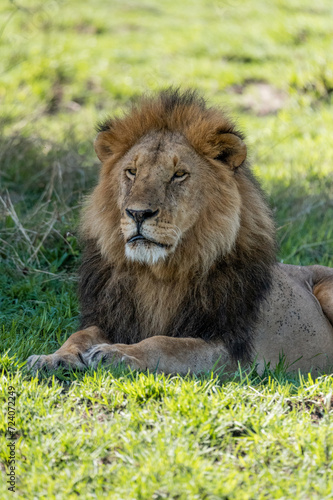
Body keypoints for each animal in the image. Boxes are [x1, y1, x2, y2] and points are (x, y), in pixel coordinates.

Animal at [26, 89, 332, 376]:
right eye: (131, 171)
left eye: (179, 175)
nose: (138, 213)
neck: (157, 274)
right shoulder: (113, 317)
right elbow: (80, 335)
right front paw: (52, 358)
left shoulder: (228, 349)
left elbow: (164, 343)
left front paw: (116, 354)